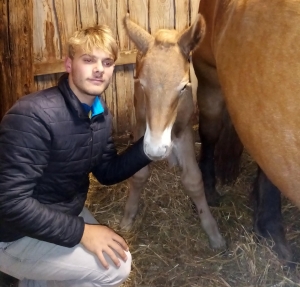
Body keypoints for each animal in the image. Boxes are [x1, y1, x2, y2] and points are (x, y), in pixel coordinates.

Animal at [119, 14, 225, 250]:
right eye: (142, 85)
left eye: (183, 87)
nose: (157, 150)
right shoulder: (142, 126)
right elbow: (139, 175)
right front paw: (128, 217)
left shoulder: (183, 130)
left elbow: (194, 180)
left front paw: (213, 232)